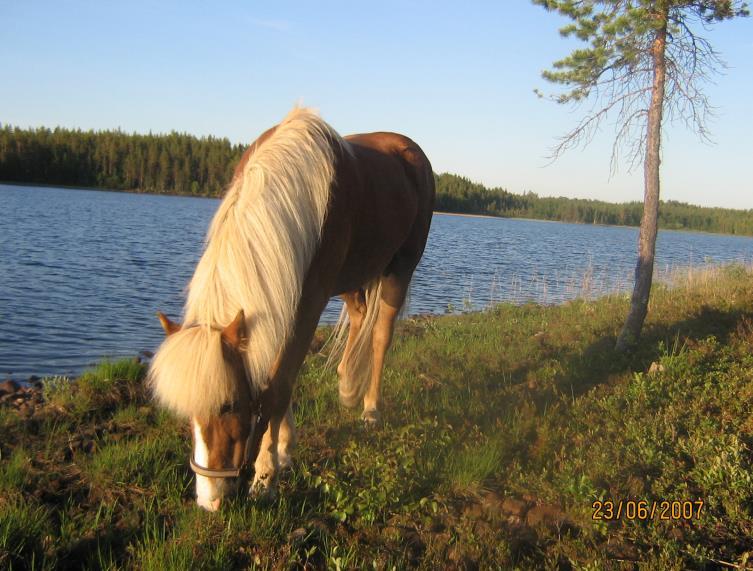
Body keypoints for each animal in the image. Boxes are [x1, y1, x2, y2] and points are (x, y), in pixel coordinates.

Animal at [148, 106, 434, 510]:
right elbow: (276, 377)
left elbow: (278, 386)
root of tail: (406, 147)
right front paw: (282, 449)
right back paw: (348, 385)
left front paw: (266, 476)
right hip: (352, 276)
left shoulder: (308, 304)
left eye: (229, 405)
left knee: (381, 335)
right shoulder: (277, 302)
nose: (210, 500)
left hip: (400, 269)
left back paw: (370, 408)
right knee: (360, 317)